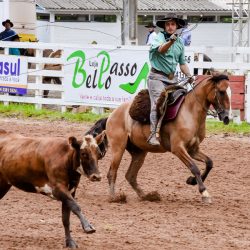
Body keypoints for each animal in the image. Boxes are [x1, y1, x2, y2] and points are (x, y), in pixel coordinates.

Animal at [86, 73, 230, 203]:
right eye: (221, 92)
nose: (227, 118)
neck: (190, 112)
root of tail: (111, 116)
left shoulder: (193, 149)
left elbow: (209, 163)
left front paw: (192, 181)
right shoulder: (178, 148)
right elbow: (194, 167)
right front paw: (204, 193)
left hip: (139, 153)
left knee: (130, 176)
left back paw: (147, 196)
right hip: (118, 149)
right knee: (112, 172)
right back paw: (114, 197)